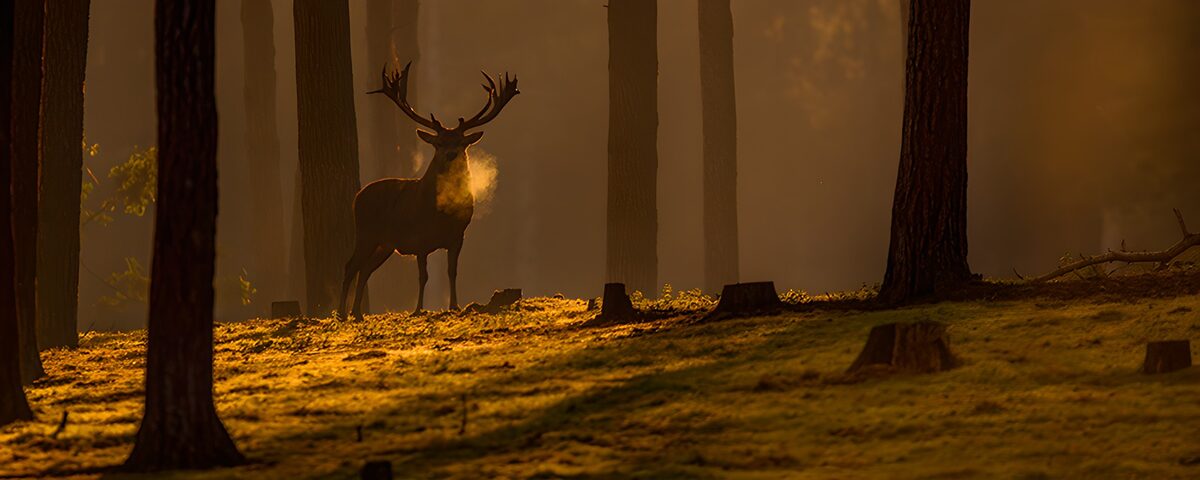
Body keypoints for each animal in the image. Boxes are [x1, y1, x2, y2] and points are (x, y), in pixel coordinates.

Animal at [337, 62, 519, 320]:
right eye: (439, 142)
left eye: (461, 142)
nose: (451, 154)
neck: (440, 213)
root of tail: (357, 196)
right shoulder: (419, 238)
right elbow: (423, 276)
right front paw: (418, 309)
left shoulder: (457, 236)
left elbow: (452, 271)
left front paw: (454, 305)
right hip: (366, 232)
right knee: (350, 265)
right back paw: (342, 313)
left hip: (385, 244)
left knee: (365, 270)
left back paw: (357, 313)